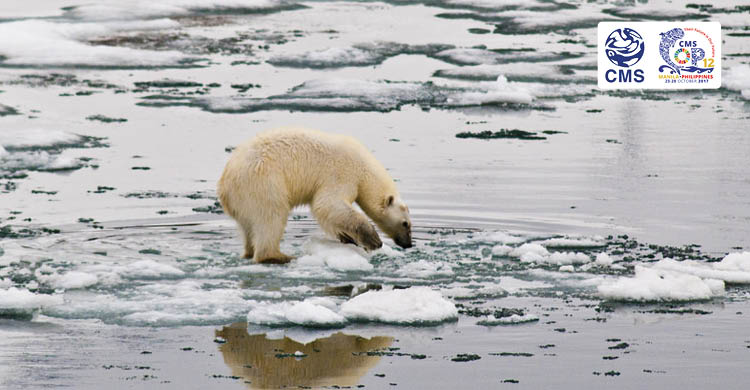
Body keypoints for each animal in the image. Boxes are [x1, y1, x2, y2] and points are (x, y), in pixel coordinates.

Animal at [217, 126, 414, 264]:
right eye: (405, 223)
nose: (408, 244)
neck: (364, 168)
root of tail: (225, 185)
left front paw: (348, 238)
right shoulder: (342, 173)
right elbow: (328, 204)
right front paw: (373, 239)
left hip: (244, 200)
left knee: (249, 227)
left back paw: (249, 251)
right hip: (263, 184)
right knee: (271, 216)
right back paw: (279, 256)